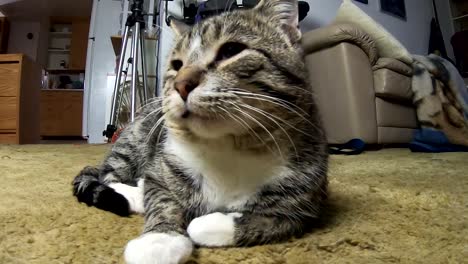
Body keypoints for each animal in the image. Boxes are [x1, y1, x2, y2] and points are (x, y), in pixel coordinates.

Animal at [74, 1, 330, 262]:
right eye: (177, 65)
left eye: (231, 50)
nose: (181, 84)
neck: (229, 145)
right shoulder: (164, 168)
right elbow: (162, 200)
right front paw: (159, 240)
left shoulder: (304, 207)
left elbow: (269, 221)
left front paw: (208, 224)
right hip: (135, 138)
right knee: (108, 175)